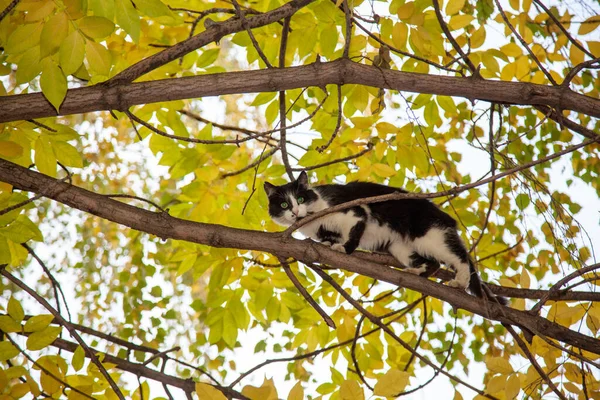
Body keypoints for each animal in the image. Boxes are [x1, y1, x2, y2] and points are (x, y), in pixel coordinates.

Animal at [264, 170, 504, 304]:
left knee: (459, 256)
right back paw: (416, 272)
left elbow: (354, 233)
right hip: (400, 247)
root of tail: (443, 216)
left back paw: (460, 281)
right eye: (284, 204)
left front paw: (344, 249)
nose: (295, 212)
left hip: (429, 234)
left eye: (300, 199)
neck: (313, 220)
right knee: (433, 264)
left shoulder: (354, 211)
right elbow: (329, 238)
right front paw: (328, 244)